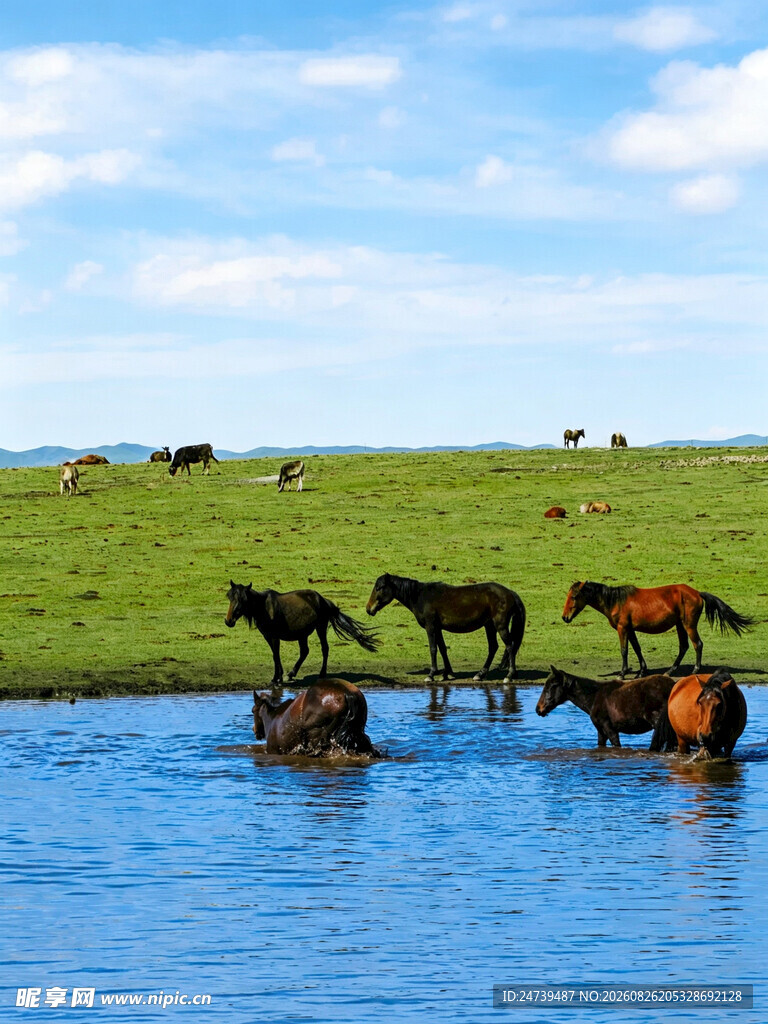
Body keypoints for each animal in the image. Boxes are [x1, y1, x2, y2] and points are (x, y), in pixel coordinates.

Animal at [225, 582, 380, 685]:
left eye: (243, 599)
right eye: (230, 598)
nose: (228, 621)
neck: (264, 608)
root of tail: (324, 600)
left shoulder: (274, 637)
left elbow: (276, 655)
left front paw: (277, 679)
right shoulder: (268, 636)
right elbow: (275, 655)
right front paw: (278, 677)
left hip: (320, 627)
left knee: (324, 648)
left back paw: (321, 674)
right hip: (302, 634)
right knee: (305, 651)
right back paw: (291, 674)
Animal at [366, 573, 525, 682]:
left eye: (379, 588)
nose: (368, 609)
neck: (420, 597)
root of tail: (510, 593)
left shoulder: (430, 626)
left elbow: (433, 649)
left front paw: (431, 674)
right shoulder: (438, 628)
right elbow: (442, 648)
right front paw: (447, 673)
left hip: (500, 625)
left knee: (509, 646)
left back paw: (509, 675)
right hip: (489, 625)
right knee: (493, 647)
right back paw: (480, 674)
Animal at [562, 581, 752, 679]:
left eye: (574, 596)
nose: (565, 617)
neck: (616, 601)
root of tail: (697, 593)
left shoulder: (622, 628)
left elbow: (624, 651)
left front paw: (622, 673)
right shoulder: (631, 629)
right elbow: (637, 649)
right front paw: (641, 672)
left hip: (688, 625)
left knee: (697, 644)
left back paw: (695, 670)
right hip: (680, 625)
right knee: (684, 646)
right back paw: (669, 671)